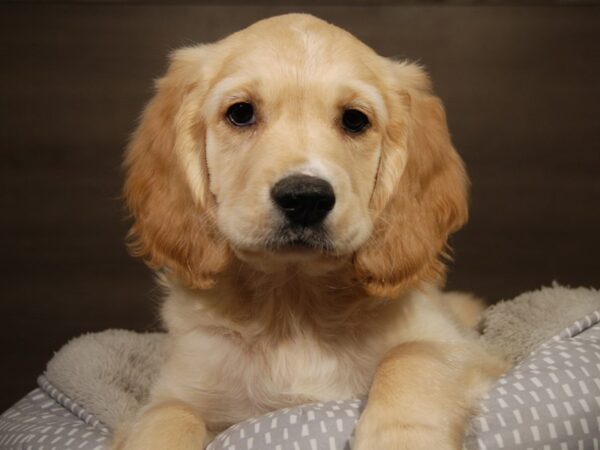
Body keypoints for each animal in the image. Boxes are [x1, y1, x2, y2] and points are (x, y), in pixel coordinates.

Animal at [113, 14, 506, 450]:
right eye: (240, 113)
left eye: (355, 120)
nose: (305, 198)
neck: (294, 304)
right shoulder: (179, 387)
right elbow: (168, 417)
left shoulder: (462, 347)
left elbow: (412, 357)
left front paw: (401, 439)